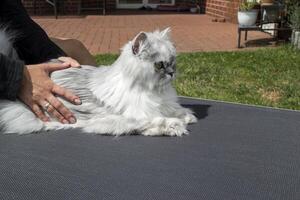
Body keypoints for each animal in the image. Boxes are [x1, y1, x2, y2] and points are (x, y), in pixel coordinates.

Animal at [0, 28, 197, 136]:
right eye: (160, 65)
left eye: (173, 62)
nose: (172, 73)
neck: (155, 91)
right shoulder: (124, 119)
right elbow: (154, 121)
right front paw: (175, 126)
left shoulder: (163, 105)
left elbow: (174, 111)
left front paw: (187, 117)